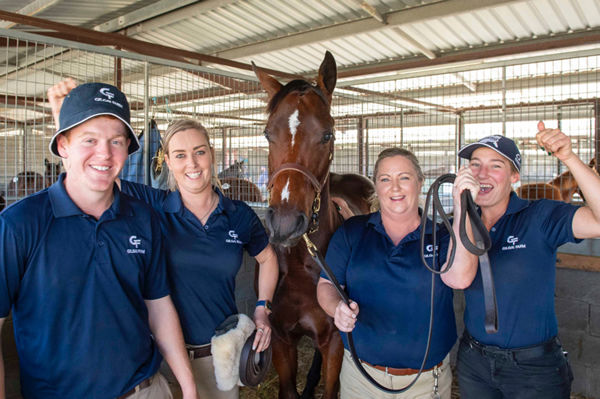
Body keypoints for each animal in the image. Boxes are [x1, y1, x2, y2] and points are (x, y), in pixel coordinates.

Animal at [254, 54, 376, 399]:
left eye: (328, 135)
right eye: (267, 134)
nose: (284, 223)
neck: (300, 265)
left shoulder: (334, 340)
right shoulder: (281, 340)